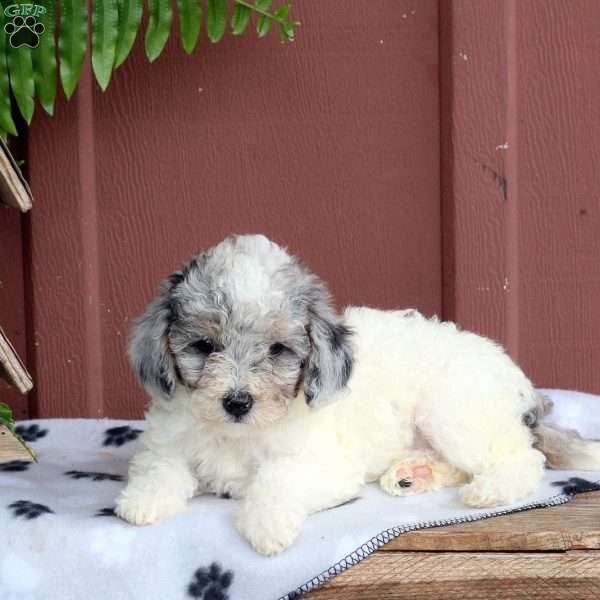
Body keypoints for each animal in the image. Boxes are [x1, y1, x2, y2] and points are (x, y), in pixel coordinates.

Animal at [116, 237, 600, 556]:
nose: (237, 402)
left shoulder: (324, 465)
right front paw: (143, 501)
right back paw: (412, 475)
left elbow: (276, 478)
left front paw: (267, 526)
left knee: (522, 458)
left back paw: (489, 489)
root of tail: (520, 383)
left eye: (277, 350)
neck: (238, 434)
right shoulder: (165, 441)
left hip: (452, 414)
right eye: (204, 346)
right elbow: (161, 467)